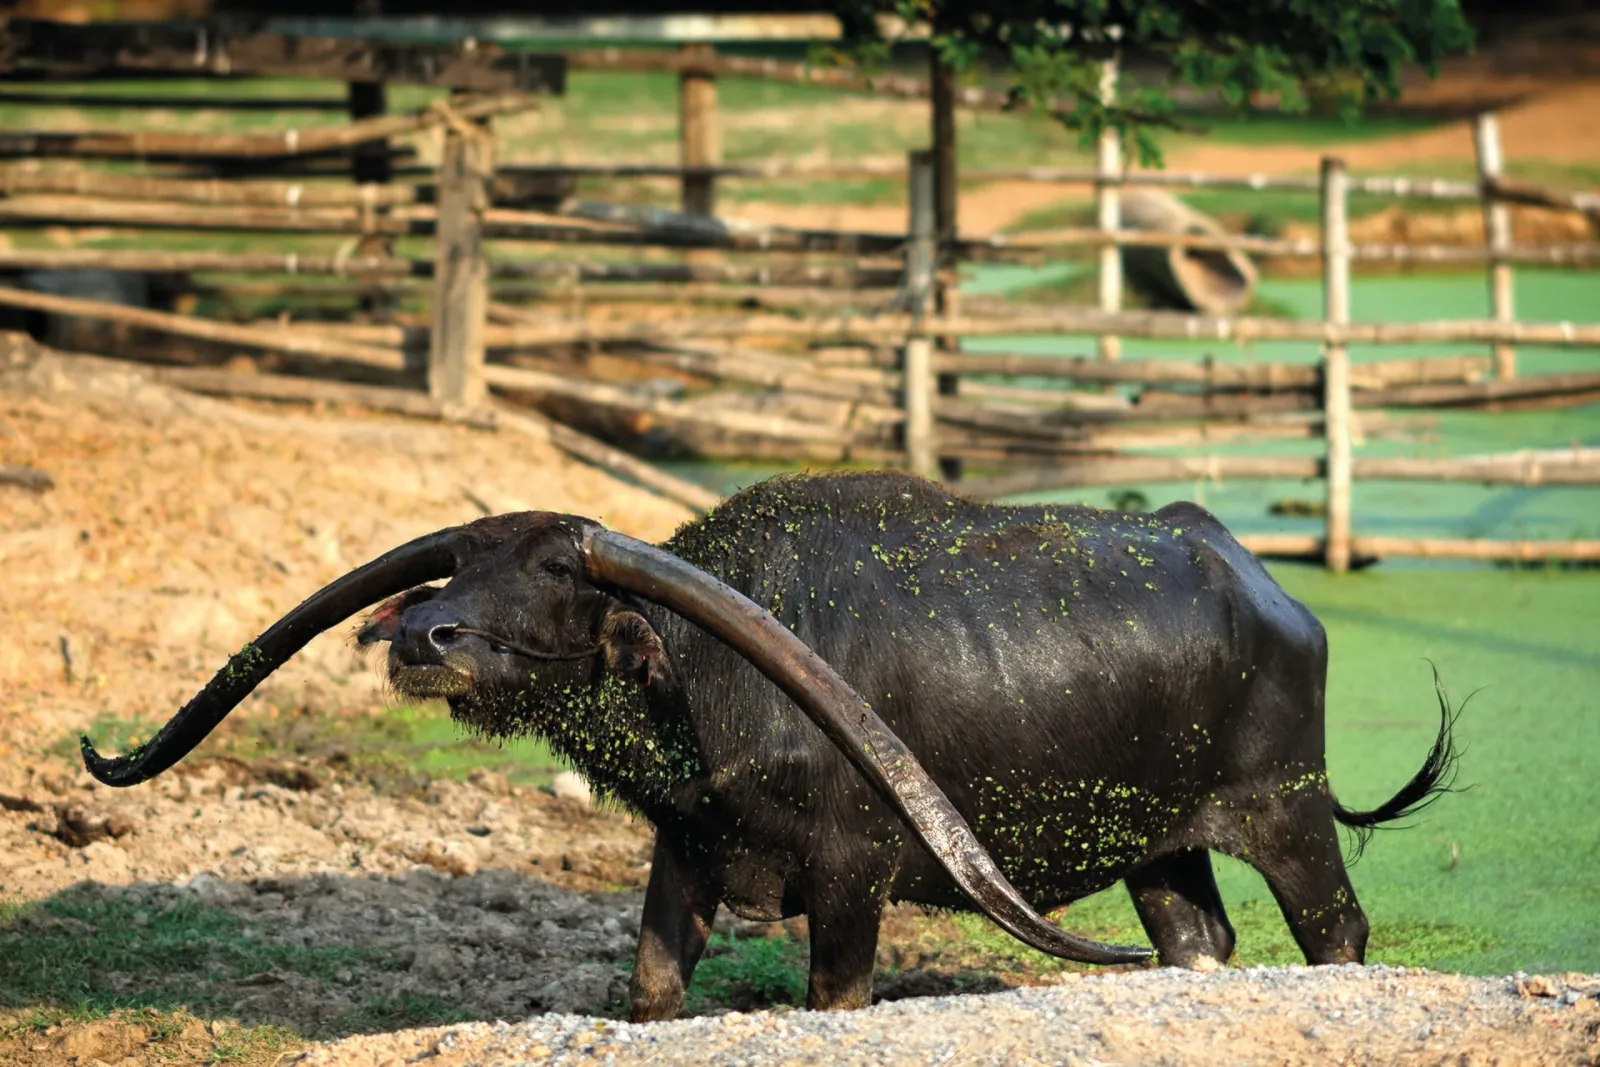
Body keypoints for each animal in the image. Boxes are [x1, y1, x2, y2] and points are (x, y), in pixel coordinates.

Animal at [82, 471, 1456, 1020]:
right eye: (457, 559)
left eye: (555, 572)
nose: (424, 634)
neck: (712, 687)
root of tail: (1261, 582)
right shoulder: (683, 850)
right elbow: (649, 983)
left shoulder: (853, 879)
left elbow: (833, 993)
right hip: (1159, 848)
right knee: (1196, 942)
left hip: (1285, 813)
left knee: (1336, 931)